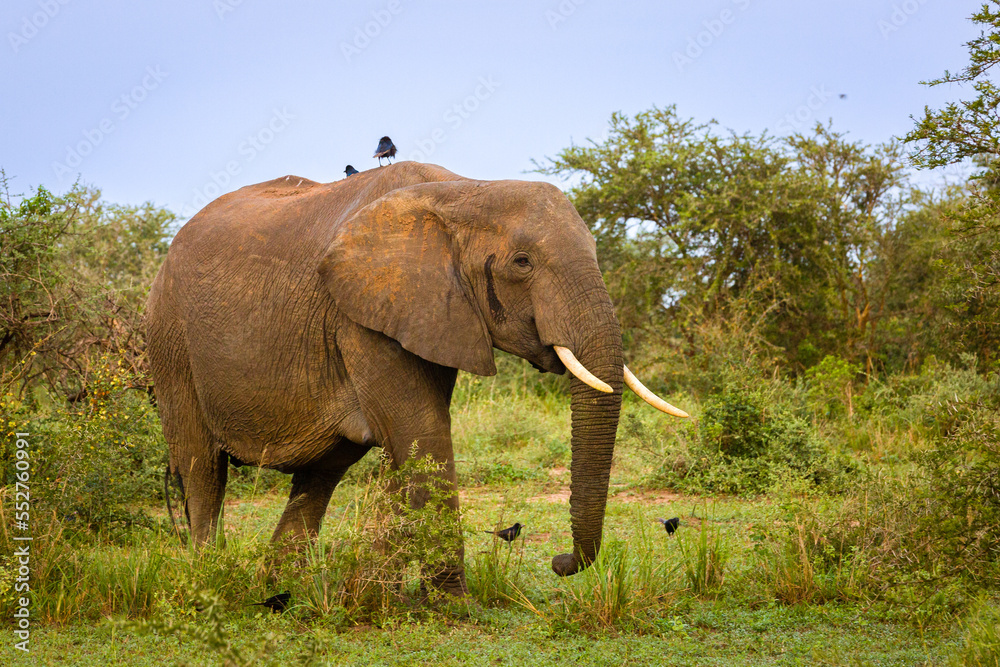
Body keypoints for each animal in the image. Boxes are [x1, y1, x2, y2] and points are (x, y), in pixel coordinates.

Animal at [144, 161, 687, 595]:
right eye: (522, 263)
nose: (560, 563)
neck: (465, 188)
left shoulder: (433, 313)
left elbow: (407, 444)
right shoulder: (364, 312)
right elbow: (422, 433)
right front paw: (453, 605)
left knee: (321, 473)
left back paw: (278, 590)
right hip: (170, 339)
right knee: (200, 466)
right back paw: (210, 578)